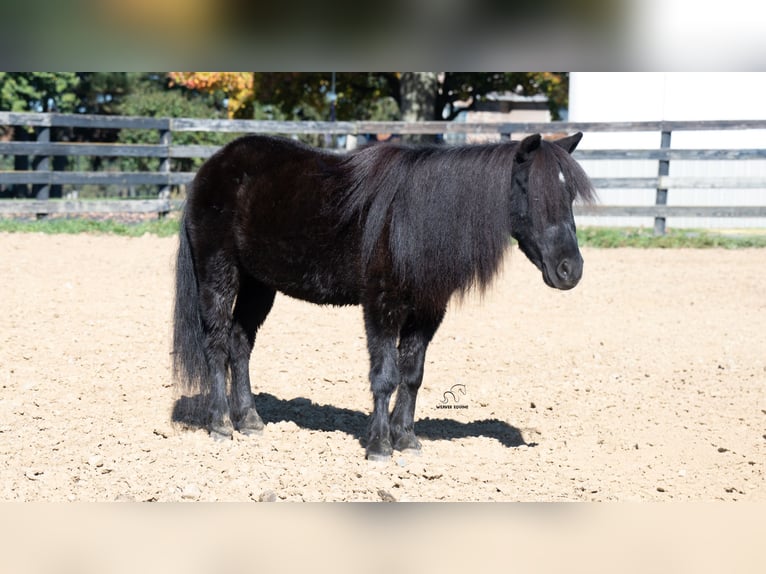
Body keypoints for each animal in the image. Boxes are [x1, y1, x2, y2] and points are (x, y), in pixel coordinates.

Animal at [172, 131, 595, 461]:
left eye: (569, 194)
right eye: (531, 191)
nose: (570, 270)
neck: (415, 219)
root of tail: (212, 167)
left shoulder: (427, 311)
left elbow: (412, 375)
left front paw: (406, 439)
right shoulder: (381, 306)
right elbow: (385, 376)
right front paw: (379, 446)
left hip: (259, 284)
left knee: (240, 344)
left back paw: (249, 420)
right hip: (219, 272)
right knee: (217, 345)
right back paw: (221, 424)